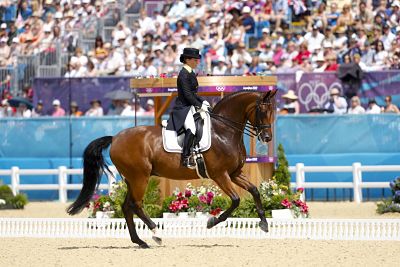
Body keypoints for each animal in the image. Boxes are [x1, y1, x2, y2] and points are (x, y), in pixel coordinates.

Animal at [68, 90, 276, 249]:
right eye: (261, 110)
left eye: (272, 111)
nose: (267, 137)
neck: (223, 131)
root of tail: (115, 138)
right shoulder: (220, 175)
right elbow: (235, 200)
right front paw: (211, 222)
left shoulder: (234, 173)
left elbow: (255, 190)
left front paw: (264, 223)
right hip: (140, 177)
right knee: (136, 205)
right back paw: (156, 233)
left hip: (132, 179)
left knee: (127, 206)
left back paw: (140, 241)